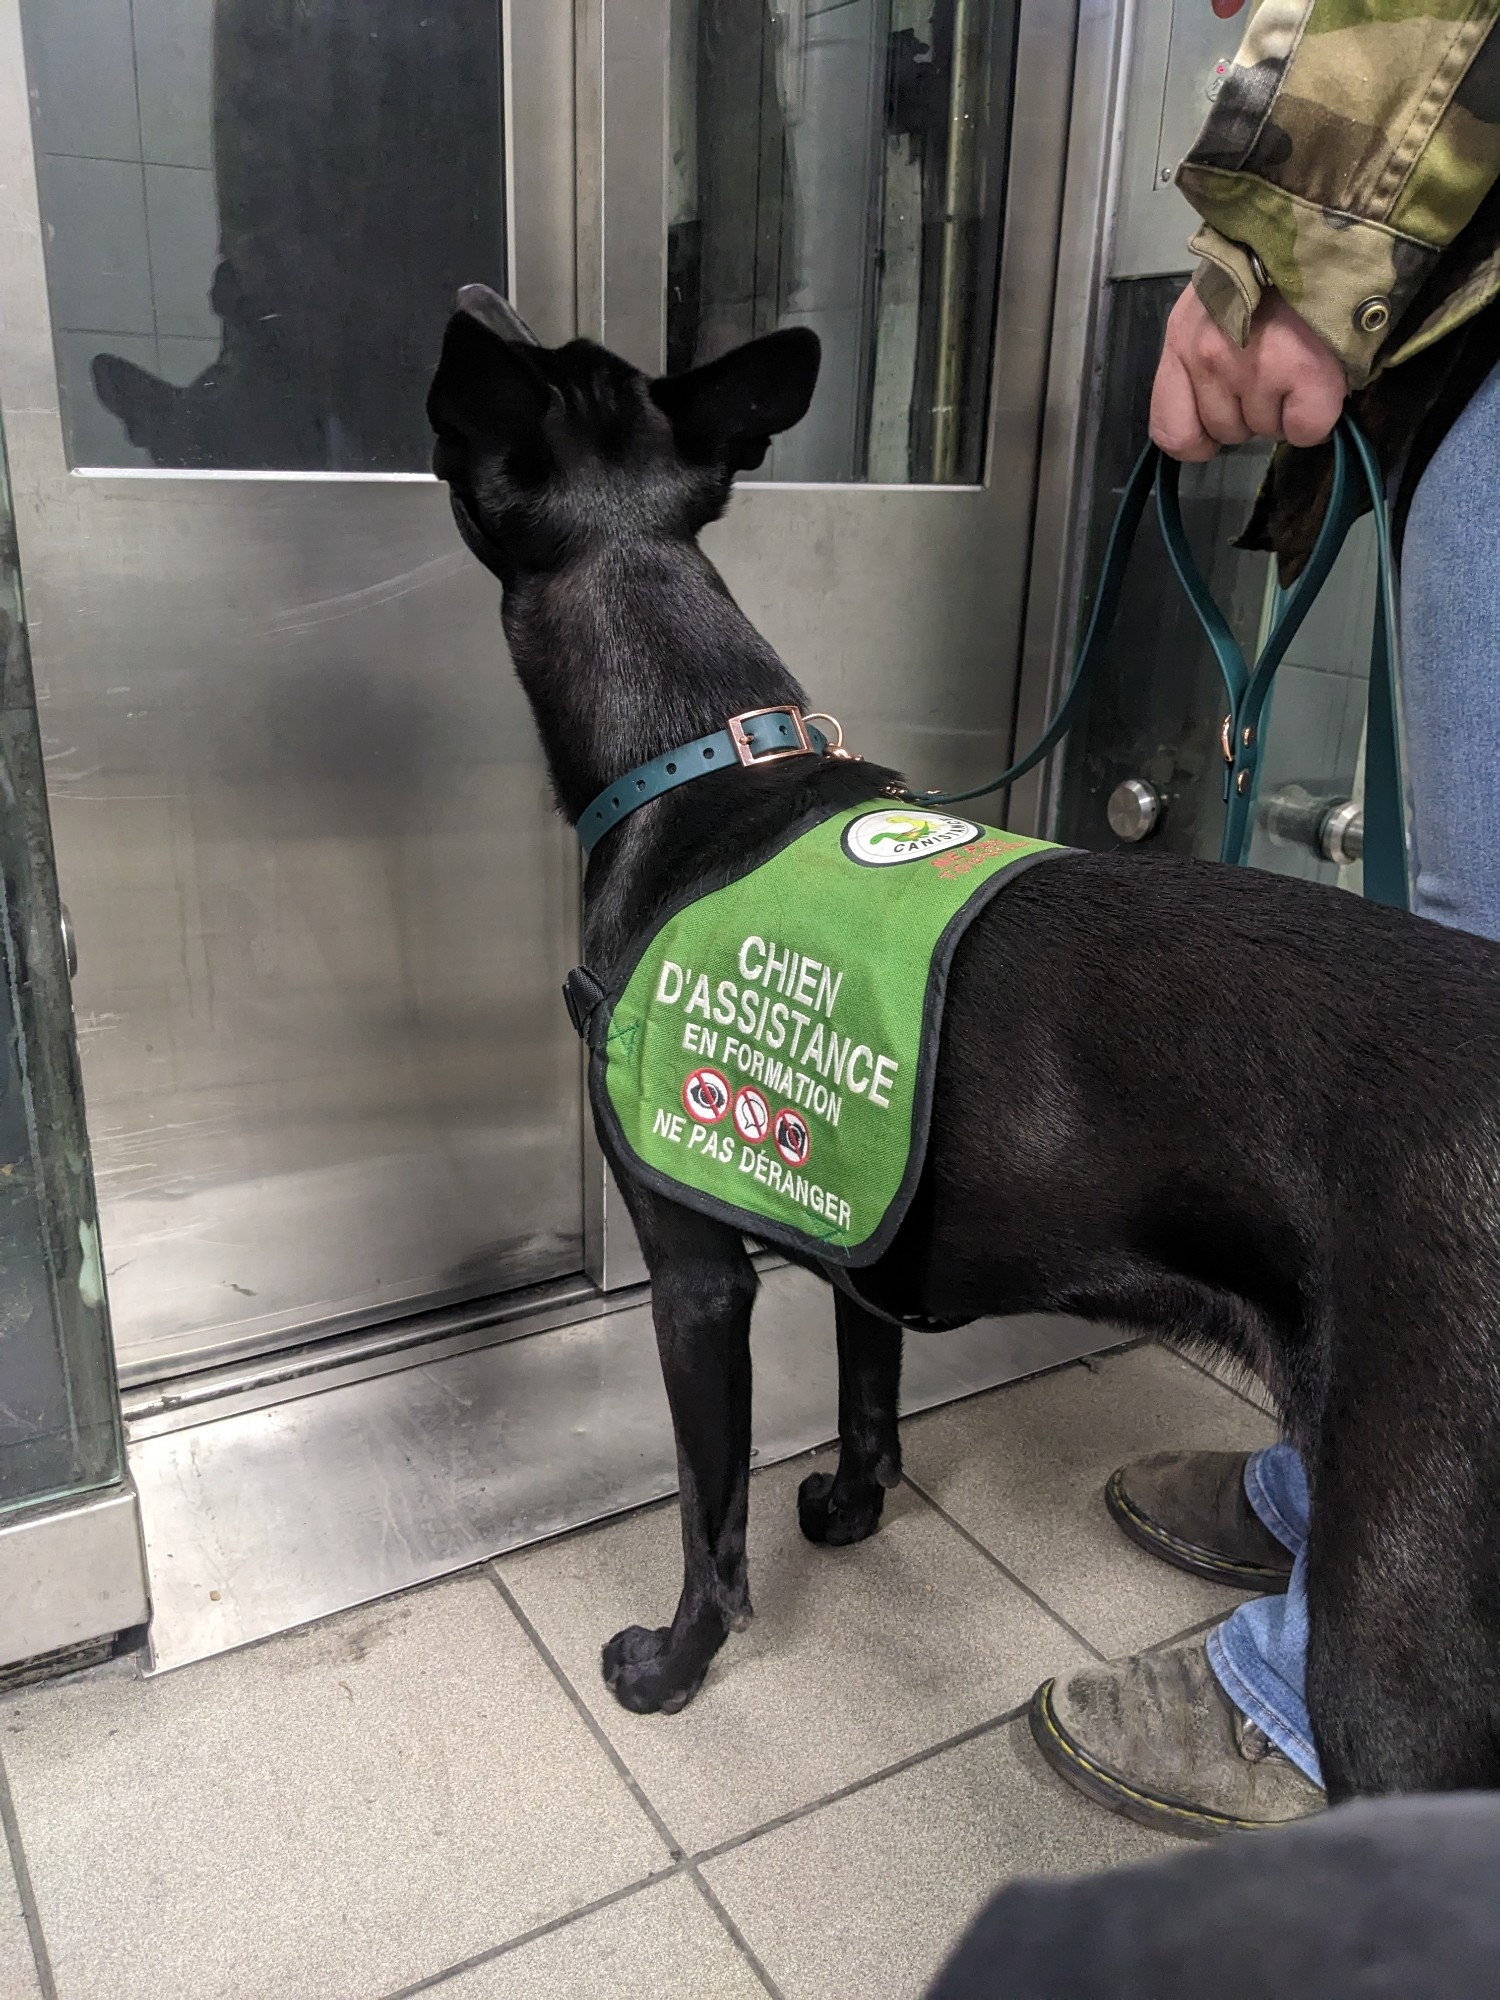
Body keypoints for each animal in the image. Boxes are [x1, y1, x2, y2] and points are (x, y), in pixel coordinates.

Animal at [426, 290, 1500, 1808]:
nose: (480, 297)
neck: (695, 756)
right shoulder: (857, 1211)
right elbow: (869, 1400)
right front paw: (852, 1508)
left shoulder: (694, 1279)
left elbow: (708, 1514)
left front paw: (677, 1665)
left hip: (1401, 1632)